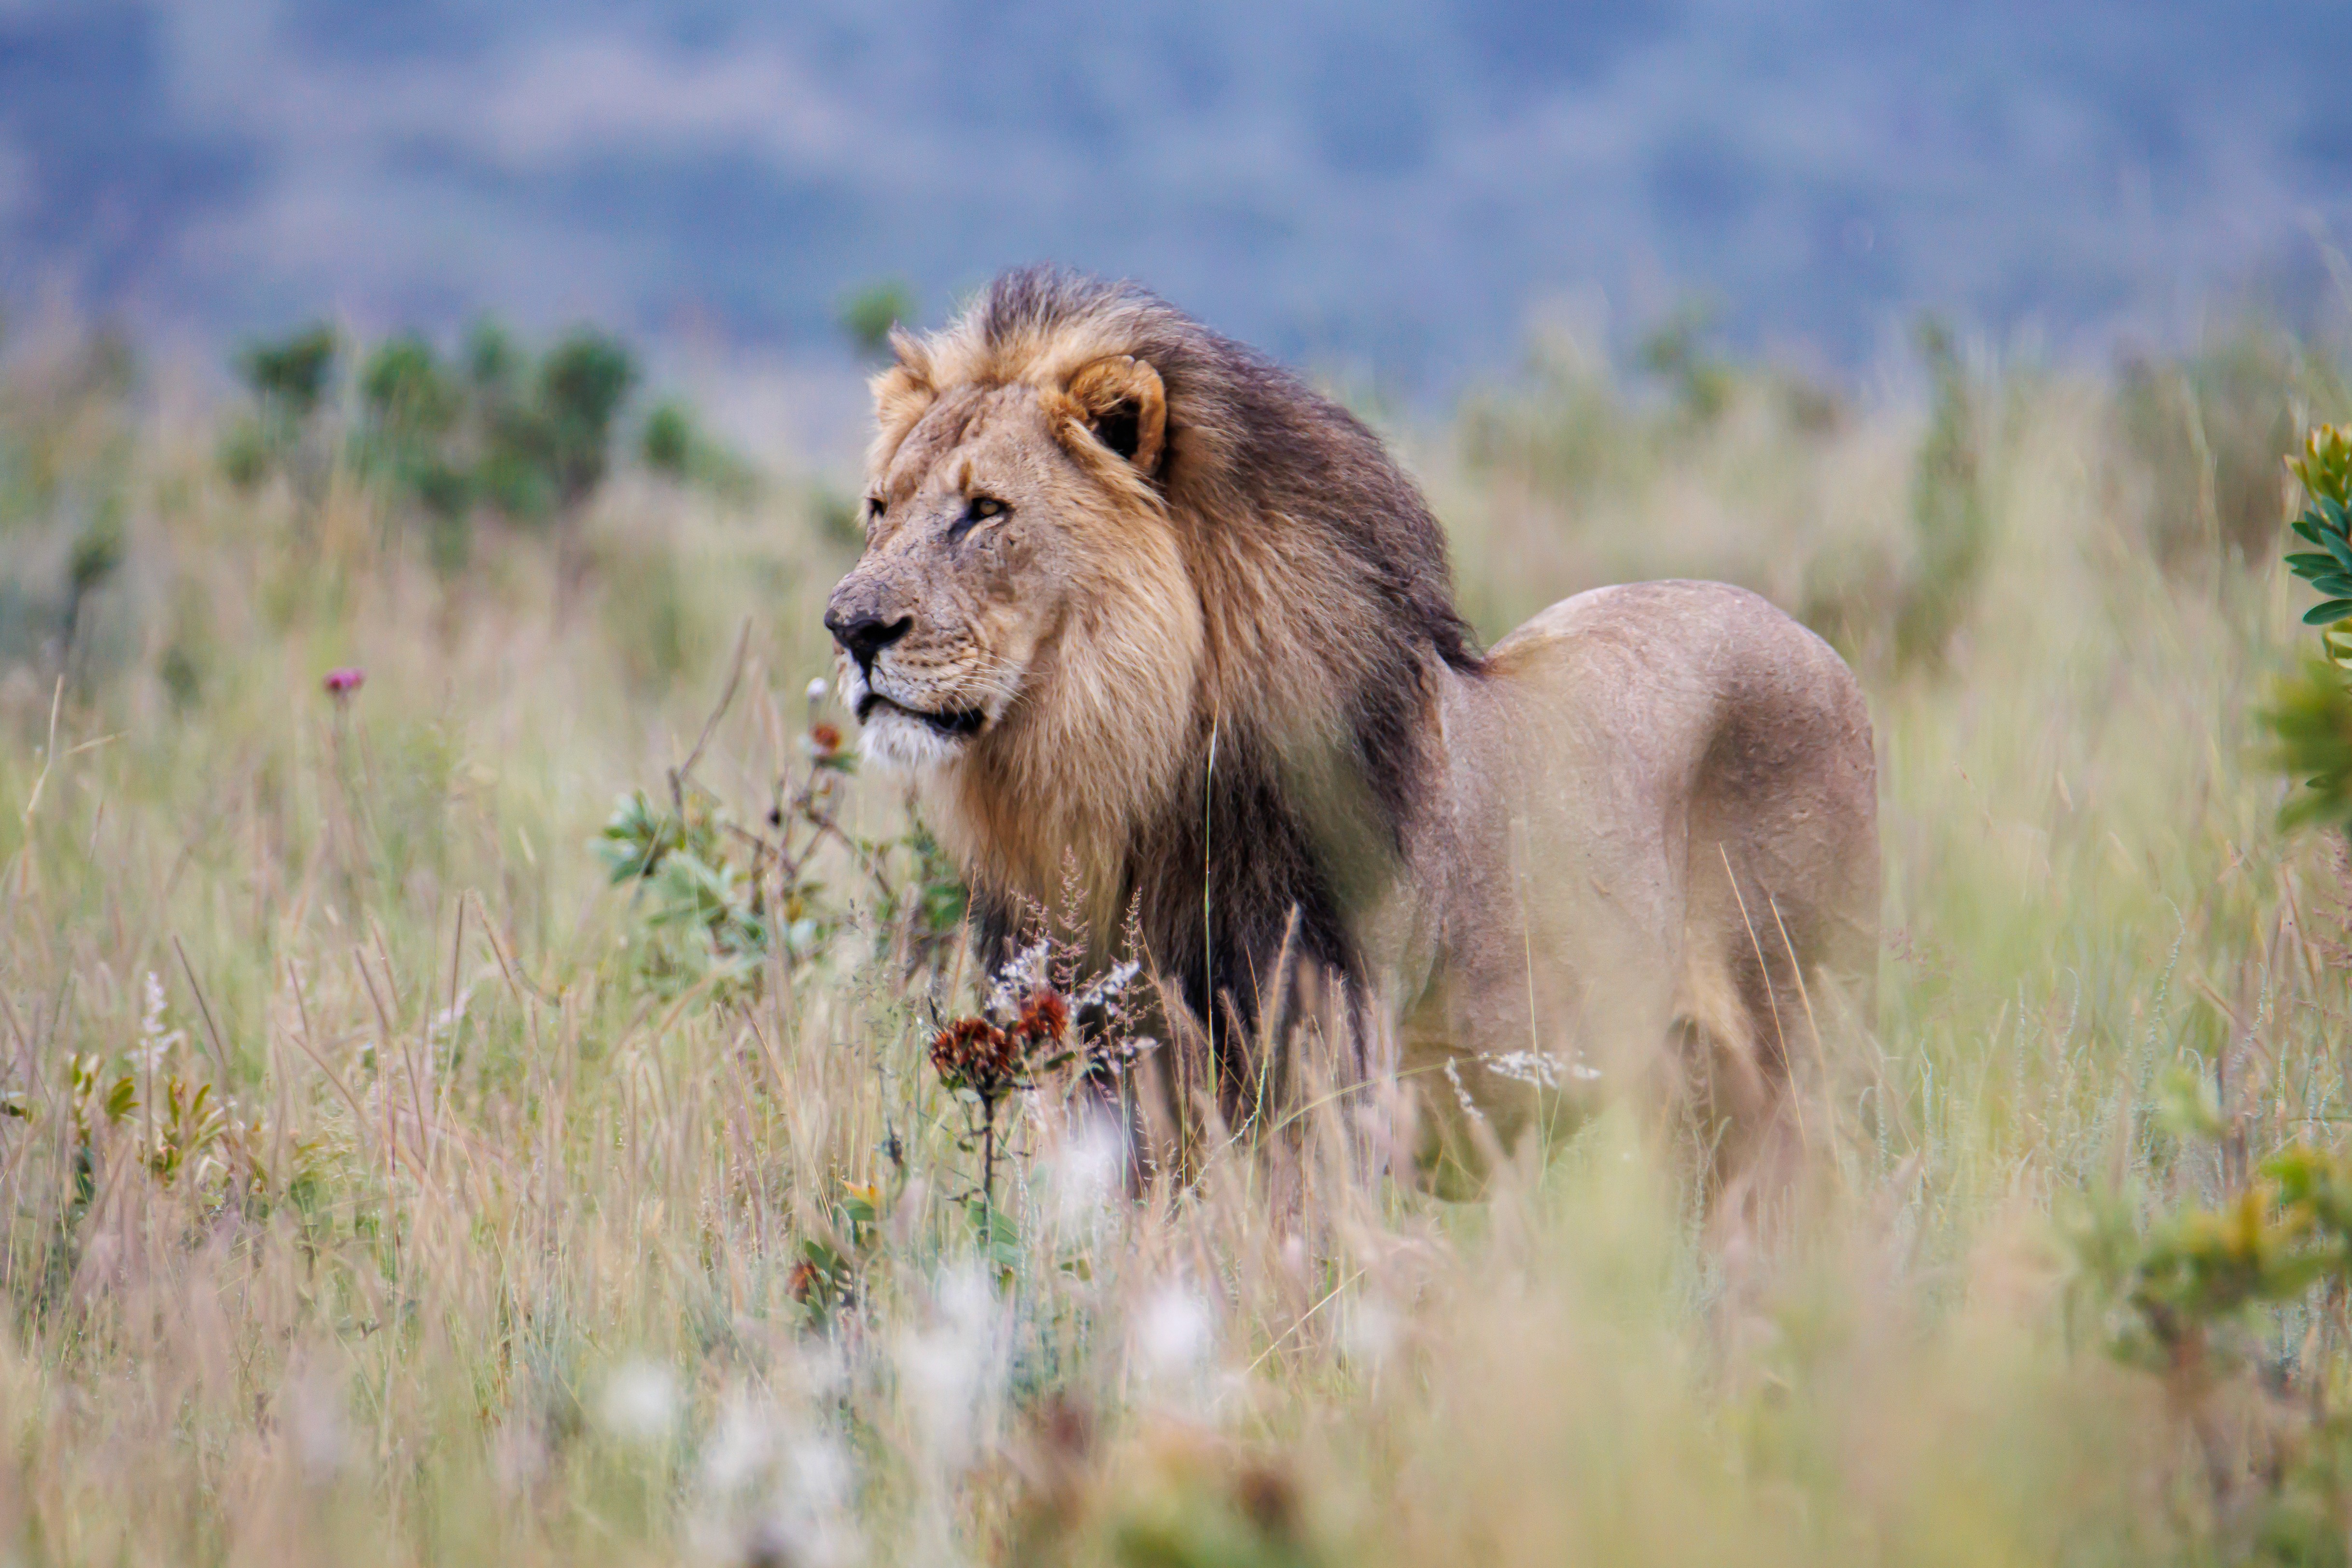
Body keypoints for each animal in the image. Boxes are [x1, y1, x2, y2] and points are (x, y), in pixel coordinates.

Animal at [824, 266, 1878, 1196]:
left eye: (985, 511)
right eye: (879, 509)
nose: (850, 628)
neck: (1122, 783)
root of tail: (1821, 648)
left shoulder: (1323, 1059)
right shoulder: (1106, 1075)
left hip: (1783, 1033)